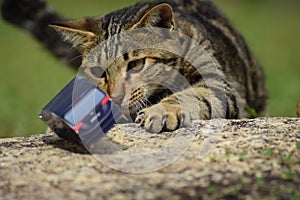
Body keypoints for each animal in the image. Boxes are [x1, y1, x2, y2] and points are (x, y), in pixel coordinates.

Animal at [0, 0, 268, 134]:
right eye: (98, 73)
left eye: (136, 64)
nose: (115, 95)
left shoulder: (220, 87)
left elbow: (191, 94)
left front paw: (161, 110)